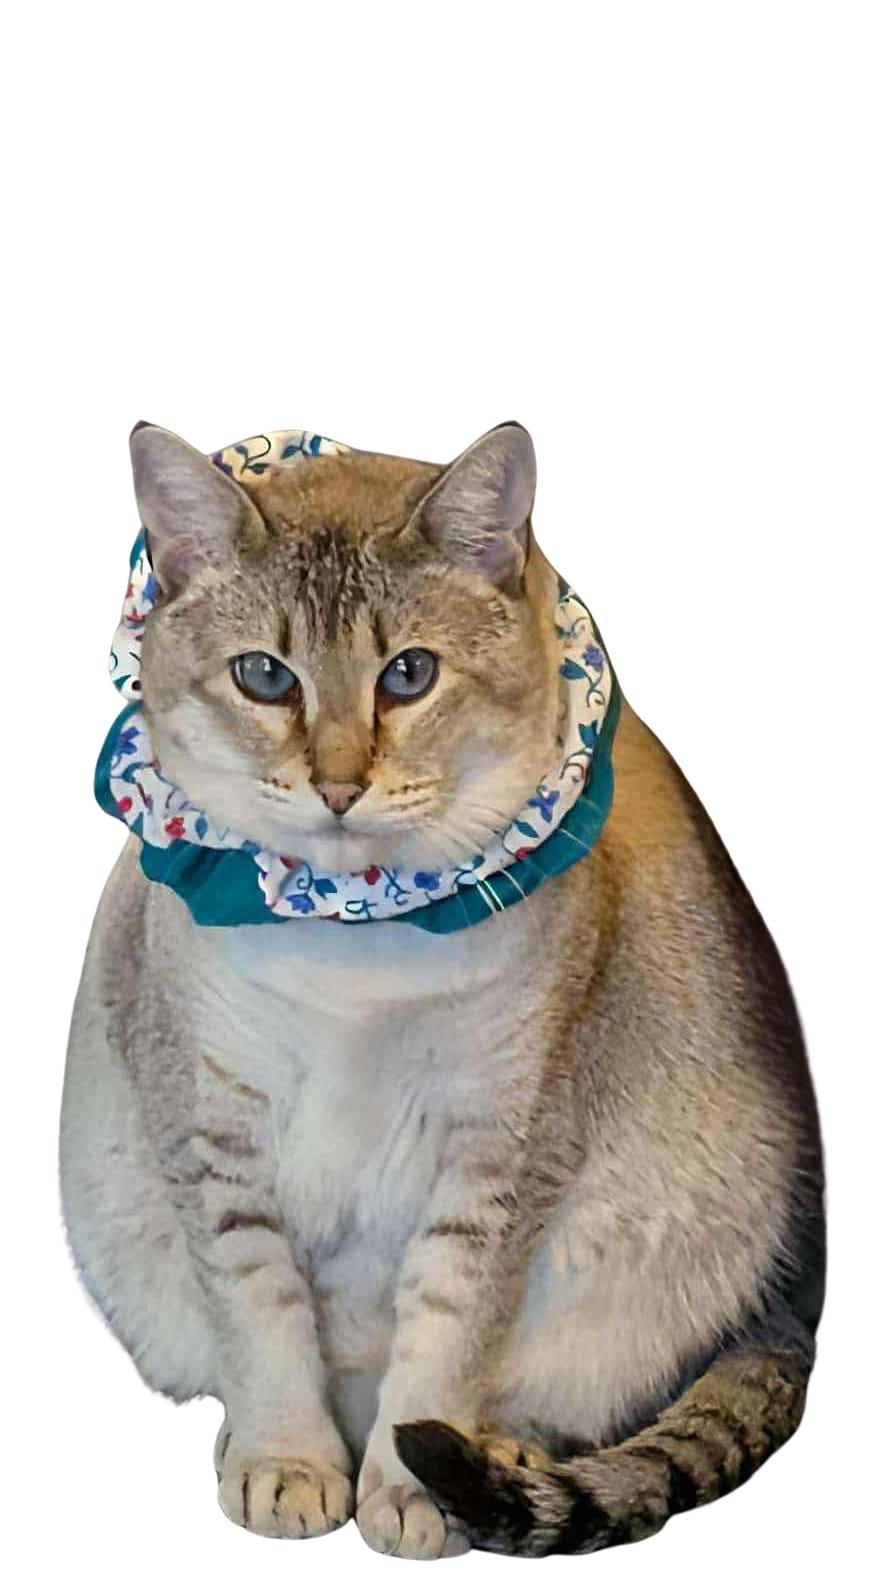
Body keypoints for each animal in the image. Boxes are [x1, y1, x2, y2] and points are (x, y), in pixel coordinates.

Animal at [58, 420, 826, 1558]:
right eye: (265, 677)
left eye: (409, 674)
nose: (338, 785)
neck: (353, 930)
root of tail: (790, 1307)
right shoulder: (211, 1132)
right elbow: (260, 1314)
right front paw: (289, 1466)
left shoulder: (500, 1150)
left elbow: (445, 1336)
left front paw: (407, 1490)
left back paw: (498, 1457)